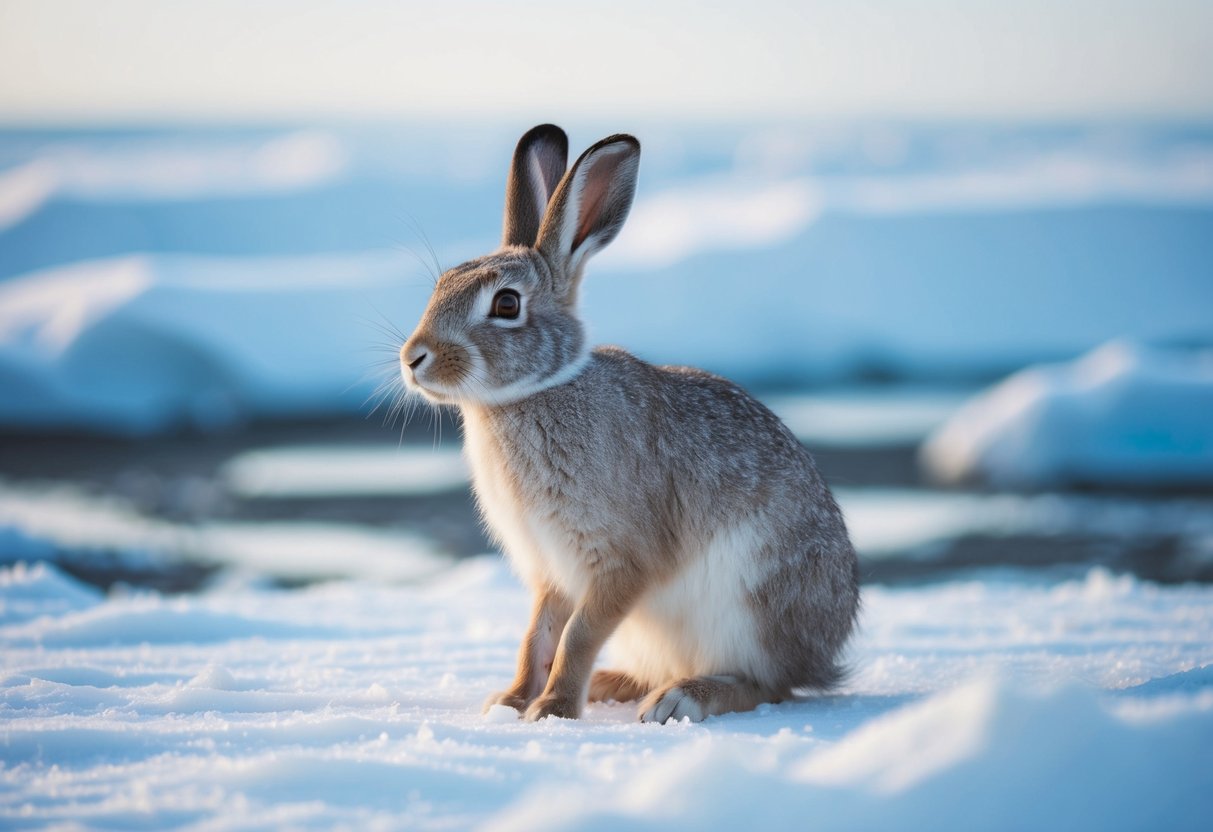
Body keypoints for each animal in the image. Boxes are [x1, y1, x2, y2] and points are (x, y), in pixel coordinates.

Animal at [400, 124, 859, 723]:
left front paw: (552, 710)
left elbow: (579, 635)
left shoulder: (620, 561)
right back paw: (614, 684)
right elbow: (537, 635)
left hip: (752, 606)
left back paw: (681, 698)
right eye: (442, 284)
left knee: (768, 685)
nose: (413, 358)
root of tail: (824, 656)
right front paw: (510, 702)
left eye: (506, 305)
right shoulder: (552, 570)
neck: (530, 395)